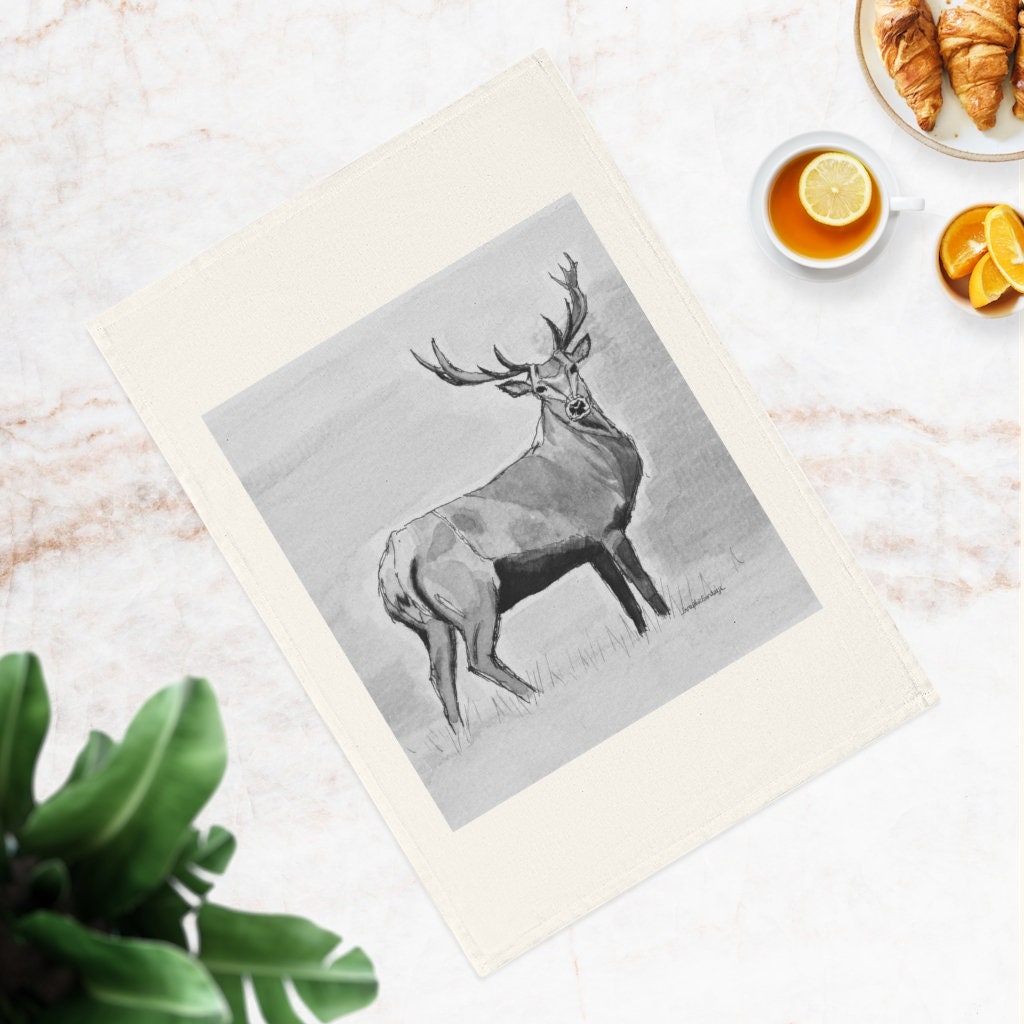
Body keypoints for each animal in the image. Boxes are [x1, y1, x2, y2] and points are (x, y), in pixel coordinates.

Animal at [378, 254, 669, 737]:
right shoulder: (606, 528)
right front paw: (673, 618)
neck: (600, 469)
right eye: (539, 388)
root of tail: (394, 568)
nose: (576, 406)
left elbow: (627, 603)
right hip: (474, 598)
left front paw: (651, 637)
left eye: (572, 368)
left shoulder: (589, 548)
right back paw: (539, 696)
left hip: (428, 624)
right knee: (478, 659)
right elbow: (645, 588)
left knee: (441, 678)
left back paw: (465, 736)